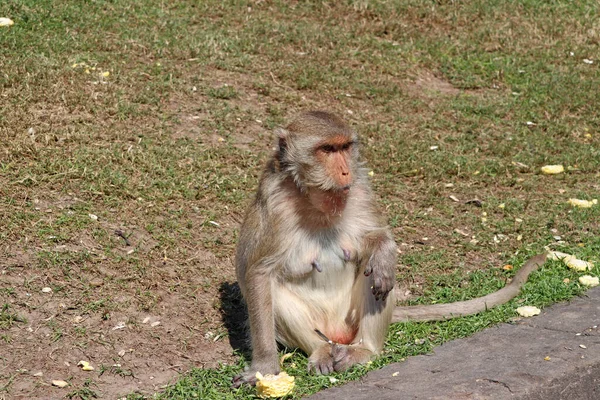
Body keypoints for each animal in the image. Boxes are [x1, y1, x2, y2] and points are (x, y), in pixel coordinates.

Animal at [233, 111, 548, 386]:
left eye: (344, 147)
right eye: (327, 149)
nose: (345, 171)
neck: (317, 201)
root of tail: (340, 336)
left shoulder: (360, 188)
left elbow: (375, 239)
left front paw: (383, 253)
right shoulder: (274, 204)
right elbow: (258, 274)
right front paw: (265, 367)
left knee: (374, 276)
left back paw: (365, 349)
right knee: (275, 291)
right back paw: (320, 350)